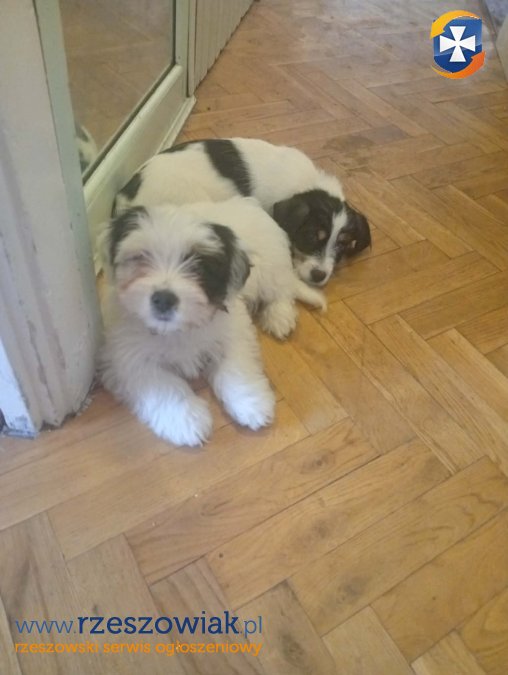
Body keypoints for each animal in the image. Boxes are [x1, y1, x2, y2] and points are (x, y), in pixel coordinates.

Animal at [99, 204, 276, 447]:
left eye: (199, 266)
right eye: (141, 256)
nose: (164, 299)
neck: (176, 330)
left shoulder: (234, 330)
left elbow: (236, 366)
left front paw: (252, 402)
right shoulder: (126, 356)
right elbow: (162, 383)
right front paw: (186, 419)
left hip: (271, 271)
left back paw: (280, 317)